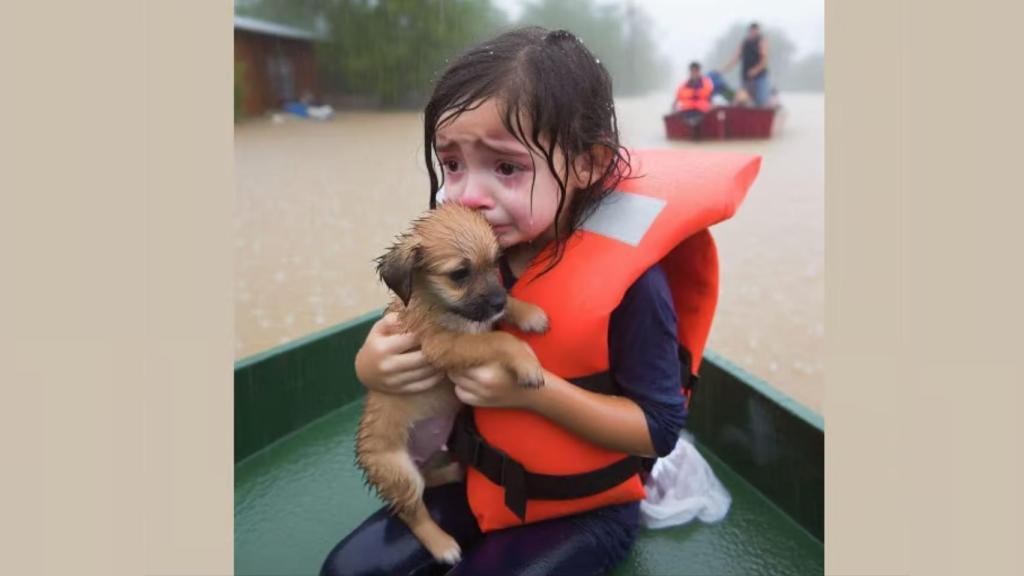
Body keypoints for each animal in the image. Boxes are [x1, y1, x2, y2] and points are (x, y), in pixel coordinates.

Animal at [360, 200, 552, 561]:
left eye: (495, 262)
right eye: (459, 274)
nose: (497, 302)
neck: (438, 304)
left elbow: (499, 317)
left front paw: (528, 313)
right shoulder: (443, 345)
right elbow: (499, 340)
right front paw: (526, 363)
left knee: (429, 479)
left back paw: (455, 471)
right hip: (398, 471)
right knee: (412, 511)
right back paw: (443, 545)